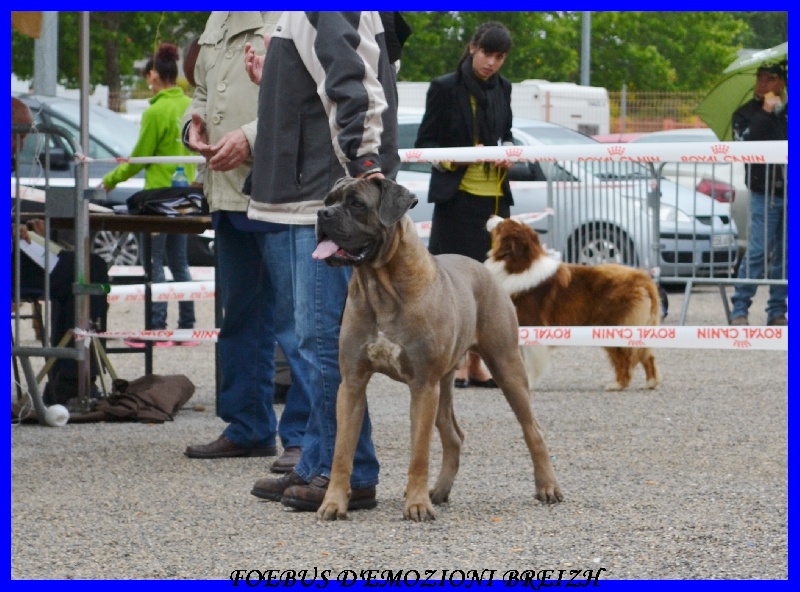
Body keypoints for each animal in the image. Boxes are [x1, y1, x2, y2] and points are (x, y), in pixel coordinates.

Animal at [312, 178, 564, 520]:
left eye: (356, 204)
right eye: (328, 200)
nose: (322, 214)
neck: (381, 285)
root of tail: (483, 268)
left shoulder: (422, 385)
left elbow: (419, 452)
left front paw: (417, 504)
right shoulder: (352, 384)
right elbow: (342, 451)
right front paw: (333, 503)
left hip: (505, 365)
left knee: (533, 429)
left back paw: (547, 487)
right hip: (444, 383)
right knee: (453, 436)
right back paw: (440, 491)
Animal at [484, 215, 660, 390]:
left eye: (502, 224)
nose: (491, 216)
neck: (517, 264)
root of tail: (643, 278)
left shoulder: (532, 325)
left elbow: (531, 362)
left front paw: (528, 384)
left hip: (615, 324)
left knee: (625, 357)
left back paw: (618, 384)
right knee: (646, 354)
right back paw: (650, 382)